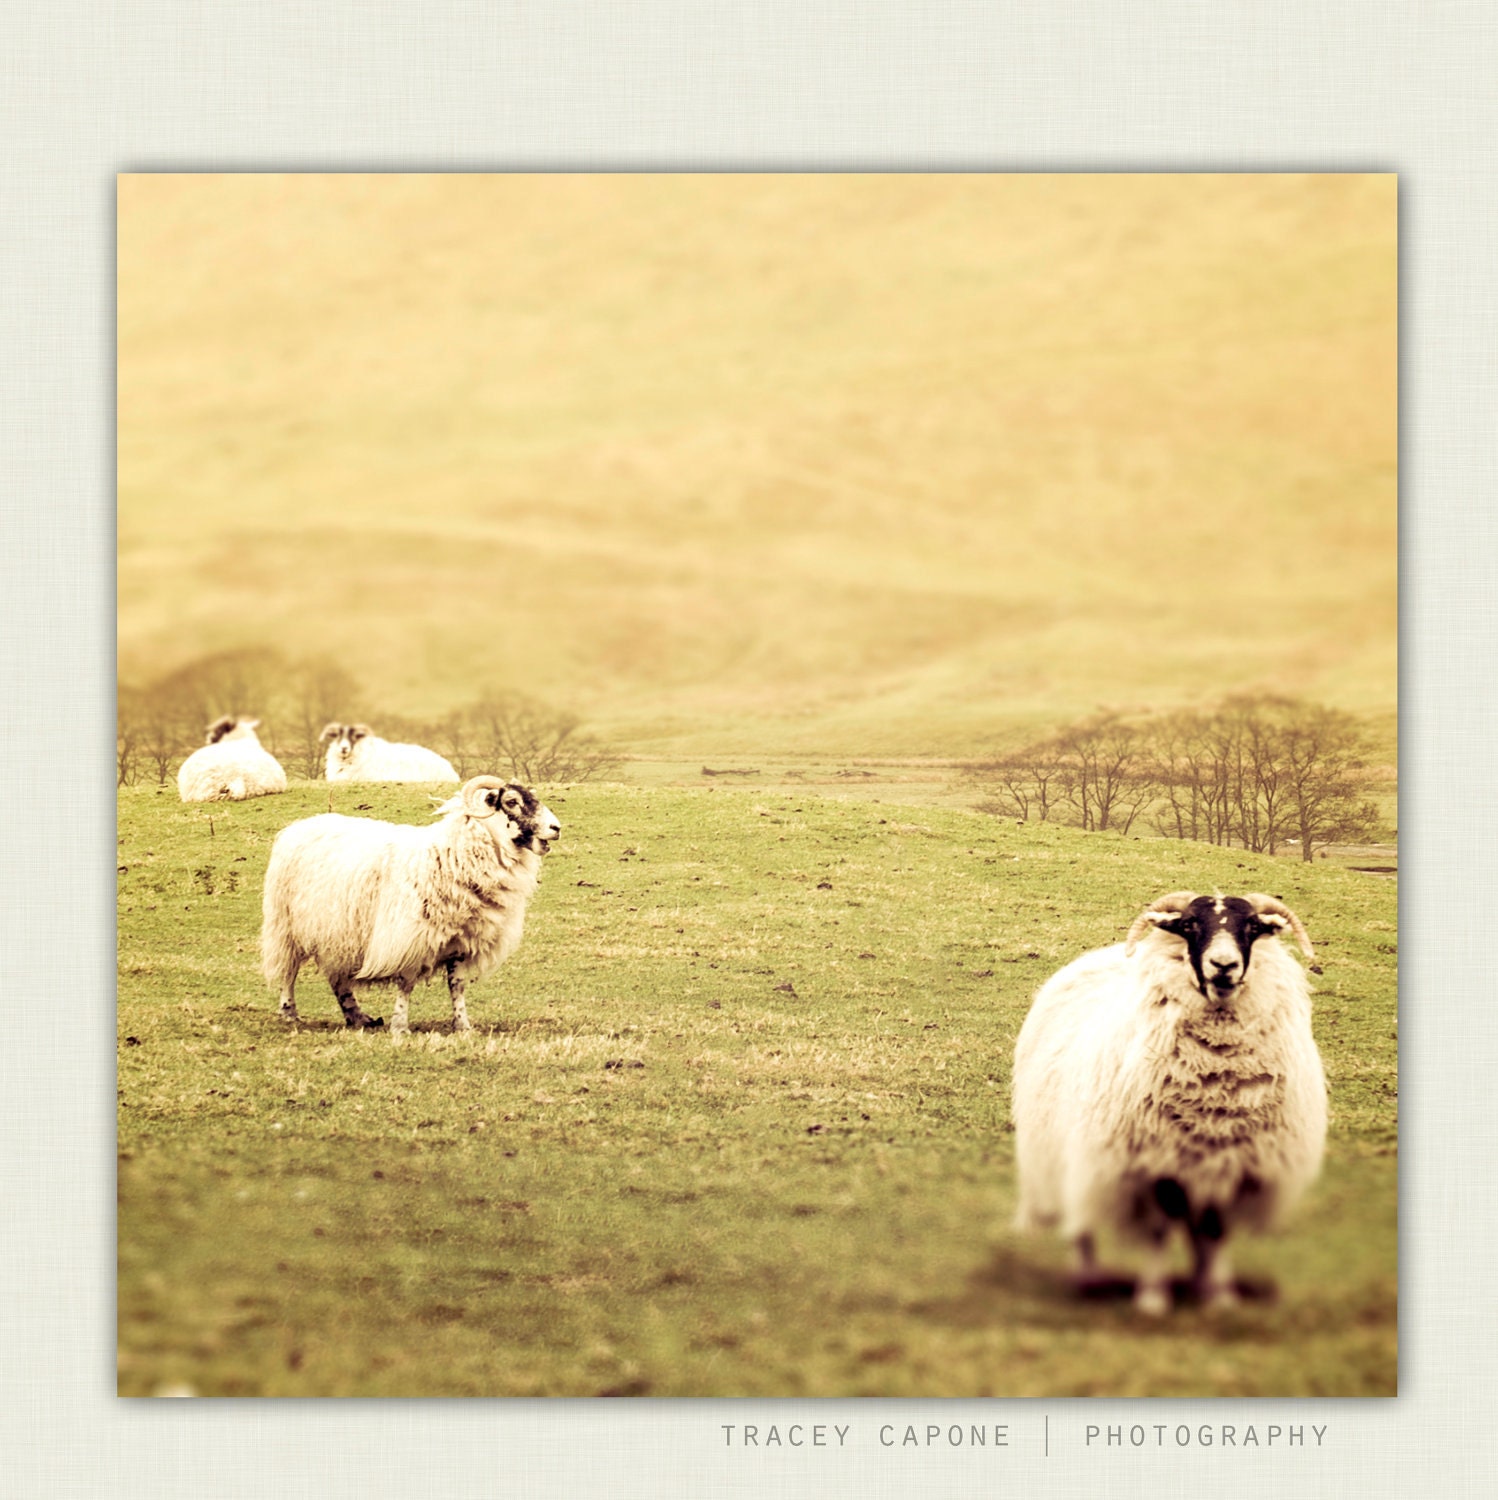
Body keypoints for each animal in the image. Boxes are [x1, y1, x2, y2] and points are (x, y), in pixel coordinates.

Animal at [260, 776, 560, 1035]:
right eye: (511, 801)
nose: (556, 828)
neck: (452, 854)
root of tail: (301, 825)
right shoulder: (409, 937)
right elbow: (406, 984)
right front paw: (400, 1025)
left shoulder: (460, 943)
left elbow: (457, 986)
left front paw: (462, 1025)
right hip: (286, 925)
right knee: (289, 969)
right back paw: (289, 1011)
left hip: (339, 932)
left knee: (338, 979)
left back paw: (356, 1016)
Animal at [1011, 891, 1326, 1314]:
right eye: (1190, 924)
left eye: (1253, 926)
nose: (1223, 965)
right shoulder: (1154, 1162)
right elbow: (1160, 1231)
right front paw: (1153, 1297)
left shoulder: (1229, 1163)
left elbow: (1212, 1231)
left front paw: (1217, 1294)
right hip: (1062, 1151)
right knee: (1080, 1218)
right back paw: (1087, 1275)